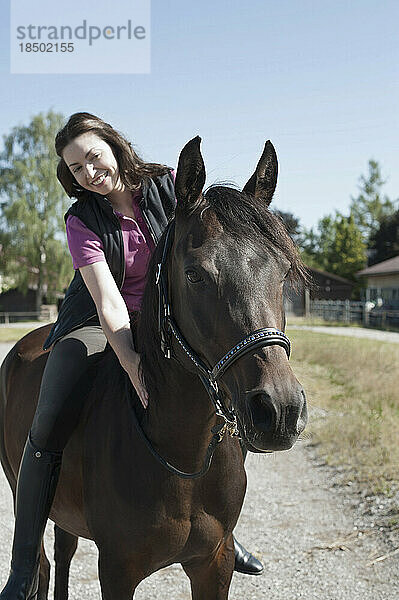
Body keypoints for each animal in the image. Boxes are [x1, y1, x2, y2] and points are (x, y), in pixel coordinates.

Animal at [0, 138, 308, 596]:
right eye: (195, 275)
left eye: (284, 272)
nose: (281, 410)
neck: (181, 455)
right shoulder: (116, 569)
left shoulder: (213, 563)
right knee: (39, 561)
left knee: (63, 551)